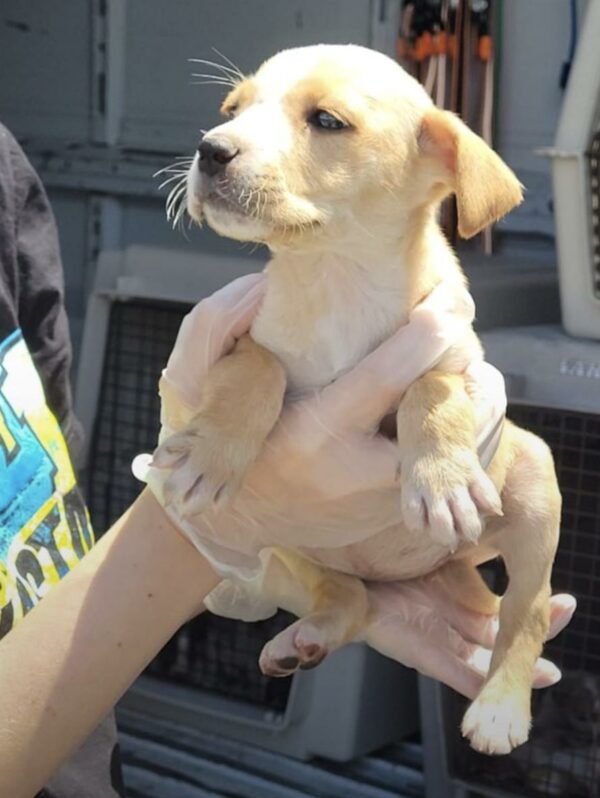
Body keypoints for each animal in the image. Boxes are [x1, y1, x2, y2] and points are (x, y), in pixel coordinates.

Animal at [157, 47, 560, 760]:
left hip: (536, 481)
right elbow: (256, 371)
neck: (334, 278)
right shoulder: (249, 339)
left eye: (326, 120)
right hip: (292, 544)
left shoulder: (460, 362)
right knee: (350, 597)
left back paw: (501, 706)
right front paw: (211, 455)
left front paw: (442, 479)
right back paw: (302, 633)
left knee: (525, 610)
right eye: (231, 110)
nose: (210, 149)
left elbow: (430, 389)